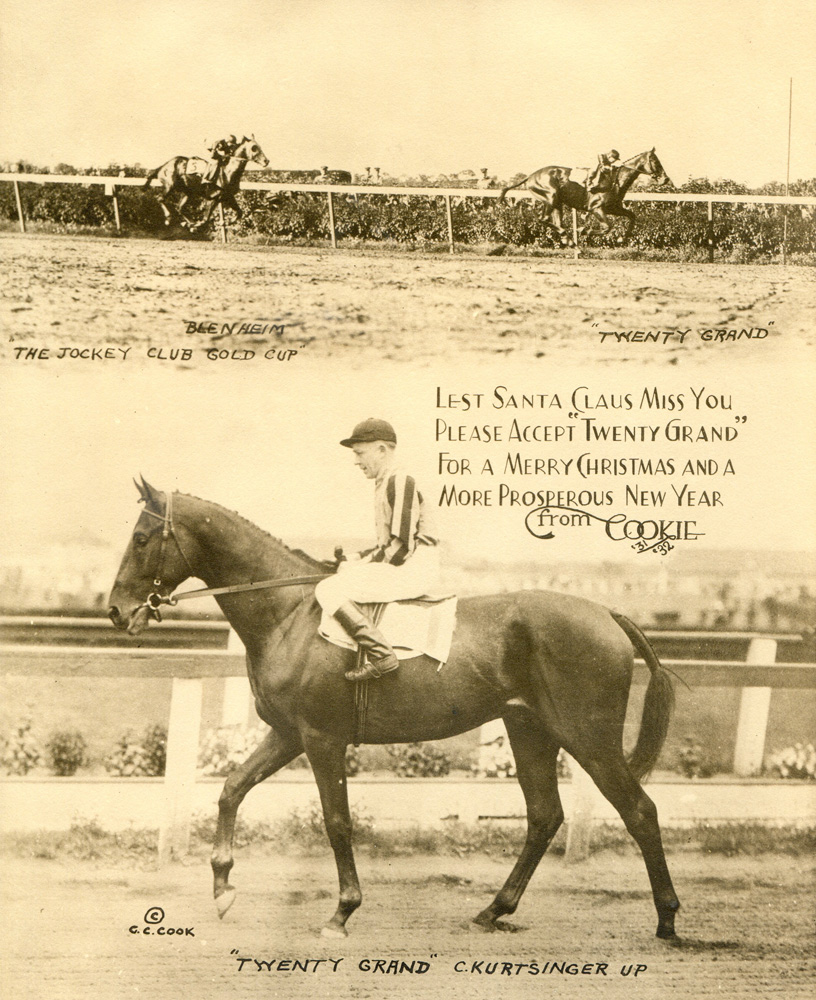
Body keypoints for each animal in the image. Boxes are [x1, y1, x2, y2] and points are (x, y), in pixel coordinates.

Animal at [108, 480, 684, 940]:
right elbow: (231, 789)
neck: (290, 614)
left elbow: (337, 821)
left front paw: (342, 913)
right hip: (529, 730)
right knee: (544, 816)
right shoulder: (288, 734)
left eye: (141, 539)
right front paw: (223, 886)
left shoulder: (322, 739)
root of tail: (605, 611)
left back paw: (668, 919)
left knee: (640, 811)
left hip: (588, 737)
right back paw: (493, 910)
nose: (116, 611)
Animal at [500, 150, 672, 248]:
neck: (614, 179)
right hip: (550, 196)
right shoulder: (596, 208)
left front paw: (621, 239)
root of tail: (530, 176)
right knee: (543, 219)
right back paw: (569, 239)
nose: (665, 179)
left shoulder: (613, 208)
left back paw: (568, 240)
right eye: (655, 161)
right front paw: (583, 229)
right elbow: (607, 227)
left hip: (557, 202)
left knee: (555, 222)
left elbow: (632, 216)